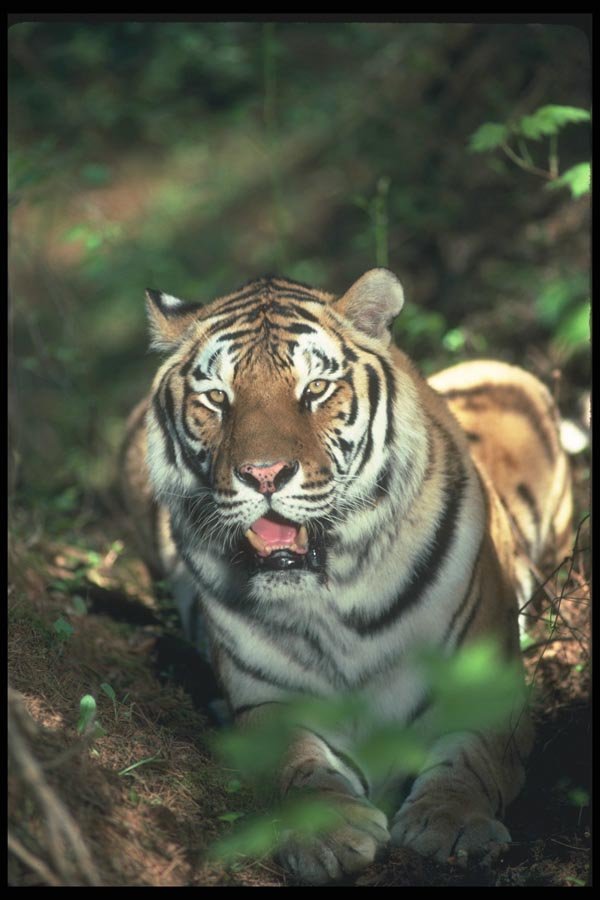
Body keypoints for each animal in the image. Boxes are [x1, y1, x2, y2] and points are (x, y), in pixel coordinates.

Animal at [121, 268, 572, 884]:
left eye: (314, 390)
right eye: (217, 397)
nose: (263, 474)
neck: (331, 591)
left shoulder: (486, 686)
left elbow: (470, 759)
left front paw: (451, 826)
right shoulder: (270, 703)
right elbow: (299, 767)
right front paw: (329, 835)